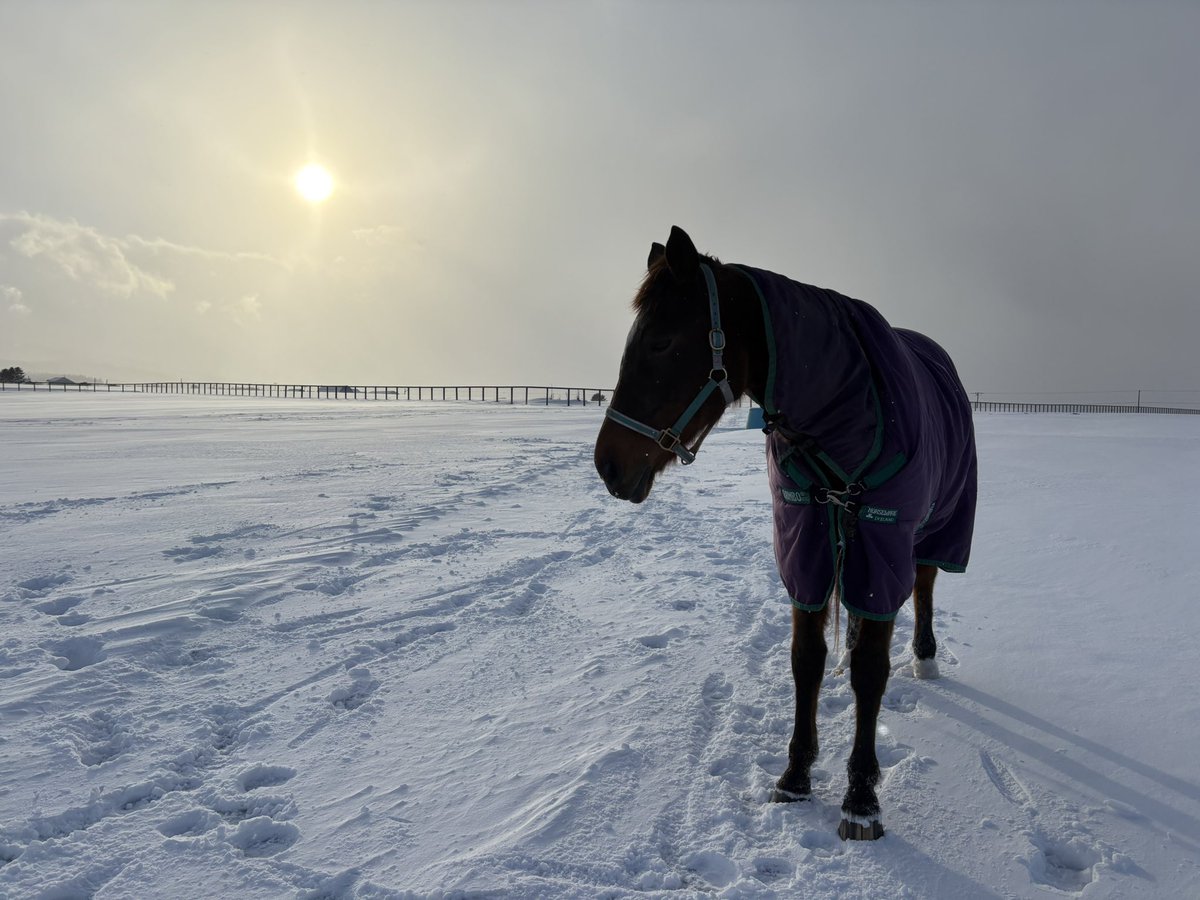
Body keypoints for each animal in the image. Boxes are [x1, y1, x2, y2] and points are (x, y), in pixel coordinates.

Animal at [594, 226, 977, 841]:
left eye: (661, 342)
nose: (607, 464)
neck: (843, 408)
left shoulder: (881, 539)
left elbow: (870, 670)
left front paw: (861, 798)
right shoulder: (806, 539)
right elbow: (806, 658)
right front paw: (796, 775)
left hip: (934, 523)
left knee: (923, 585)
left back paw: (925, 657)